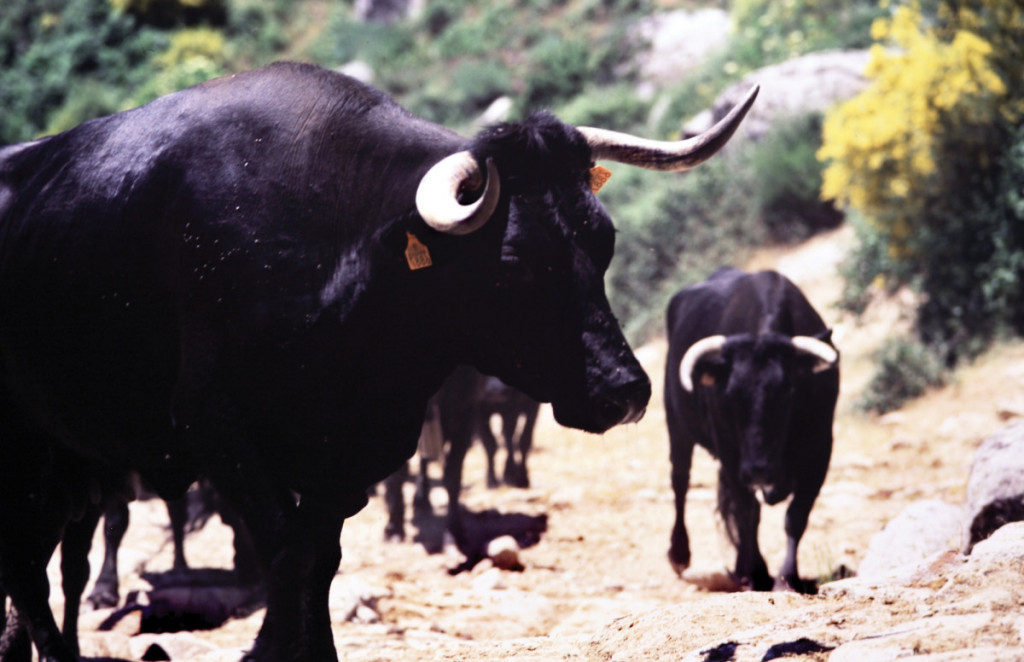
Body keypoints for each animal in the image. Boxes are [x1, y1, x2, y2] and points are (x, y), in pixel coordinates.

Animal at [2, 60, 761, 659]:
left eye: (602, 240)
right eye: (517, 264)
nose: (625, 390)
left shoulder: (351, 456)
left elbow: (320, 561)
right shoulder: (221, 434)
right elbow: (288, 555)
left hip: (60, 461)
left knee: (33, 571)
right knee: (34, 572)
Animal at [663, 270, 839, 598]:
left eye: (789, 391)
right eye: (731, 394)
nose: (759, 469)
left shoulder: (820, 448)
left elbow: (796, 516)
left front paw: (786, 577)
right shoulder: (732, 456)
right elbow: (748, 513)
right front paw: (757, 574)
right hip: (677, 427)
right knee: (680, 482)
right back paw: (680, 554)